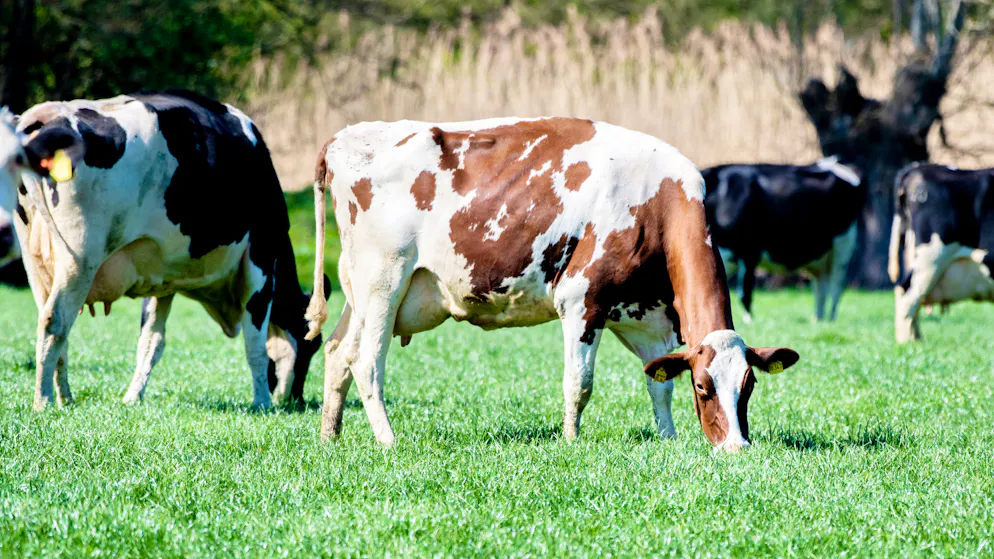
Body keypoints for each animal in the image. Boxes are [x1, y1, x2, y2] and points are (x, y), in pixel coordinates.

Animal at [0, 91, 324, 409]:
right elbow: (255, 342)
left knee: (54, 325)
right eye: (312, 344)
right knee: (54, 322)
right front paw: (263, 403)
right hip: (80, 259)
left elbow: (151, 342)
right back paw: (44, 401)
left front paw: (133, 397)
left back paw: (65, 397)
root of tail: (45, 114)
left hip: (36, 262)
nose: (298, 400)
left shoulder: (162, 277)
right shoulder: (261, 259)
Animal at [302, 117, 800, 451]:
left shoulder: (650, 317)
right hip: (383, 281)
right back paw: (387, 440)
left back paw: (330, 436)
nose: (736, 448)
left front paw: (668, 438)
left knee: (337, 352)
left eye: (749, 386)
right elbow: (579, 383)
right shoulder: (582, 300)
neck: (657, 201)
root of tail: (343, 136)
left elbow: (658, 381)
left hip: (360, 292)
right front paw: (571, 441)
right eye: (703, 387)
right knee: (367, 361)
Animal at [702, 157, 863, 323]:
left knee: (836, 286)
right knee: (821, 287)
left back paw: (830, 320)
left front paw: (749, 322)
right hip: (820, 258)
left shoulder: (749, 252)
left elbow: (744, 294)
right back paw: (817, 320)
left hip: (842, 248)